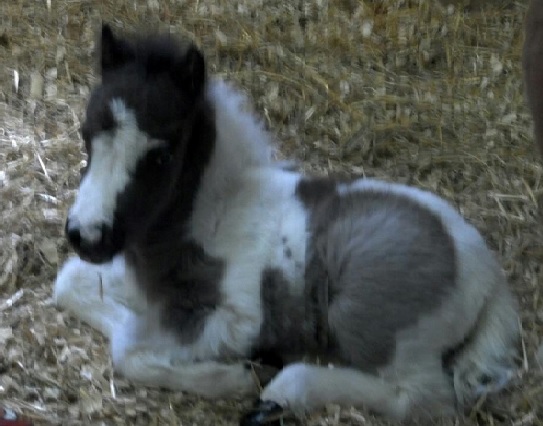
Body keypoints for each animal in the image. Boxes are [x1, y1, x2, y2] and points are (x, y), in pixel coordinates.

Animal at [54, 24, 520, 425]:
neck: (210, 215)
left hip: (368, 317)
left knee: (426, 400)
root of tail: (489, 273)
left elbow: (128, 348)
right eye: (85, 135)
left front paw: (235, 376)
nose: (86, 235)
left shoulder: (239, 318)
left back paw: (284, 389)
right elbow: (70, 285)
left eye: (160, 156)